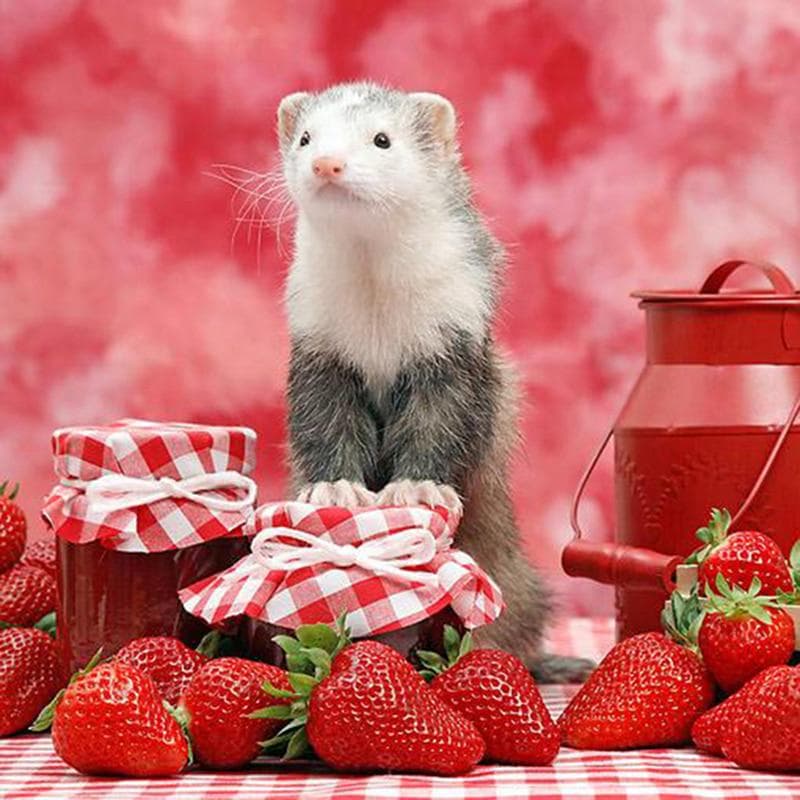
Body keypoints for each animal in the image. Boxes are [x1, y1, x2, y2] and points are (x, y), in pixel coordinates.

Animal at [275, 82, 592, 682]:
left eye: (382, 138)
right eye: (305, 137)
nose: (327, 163)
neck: (377, 317)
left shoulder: (453, 353)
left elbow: (440, 425)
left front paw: (417, 486)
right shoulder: (319, 355)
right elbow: (324, 427)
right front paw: (335, 487)